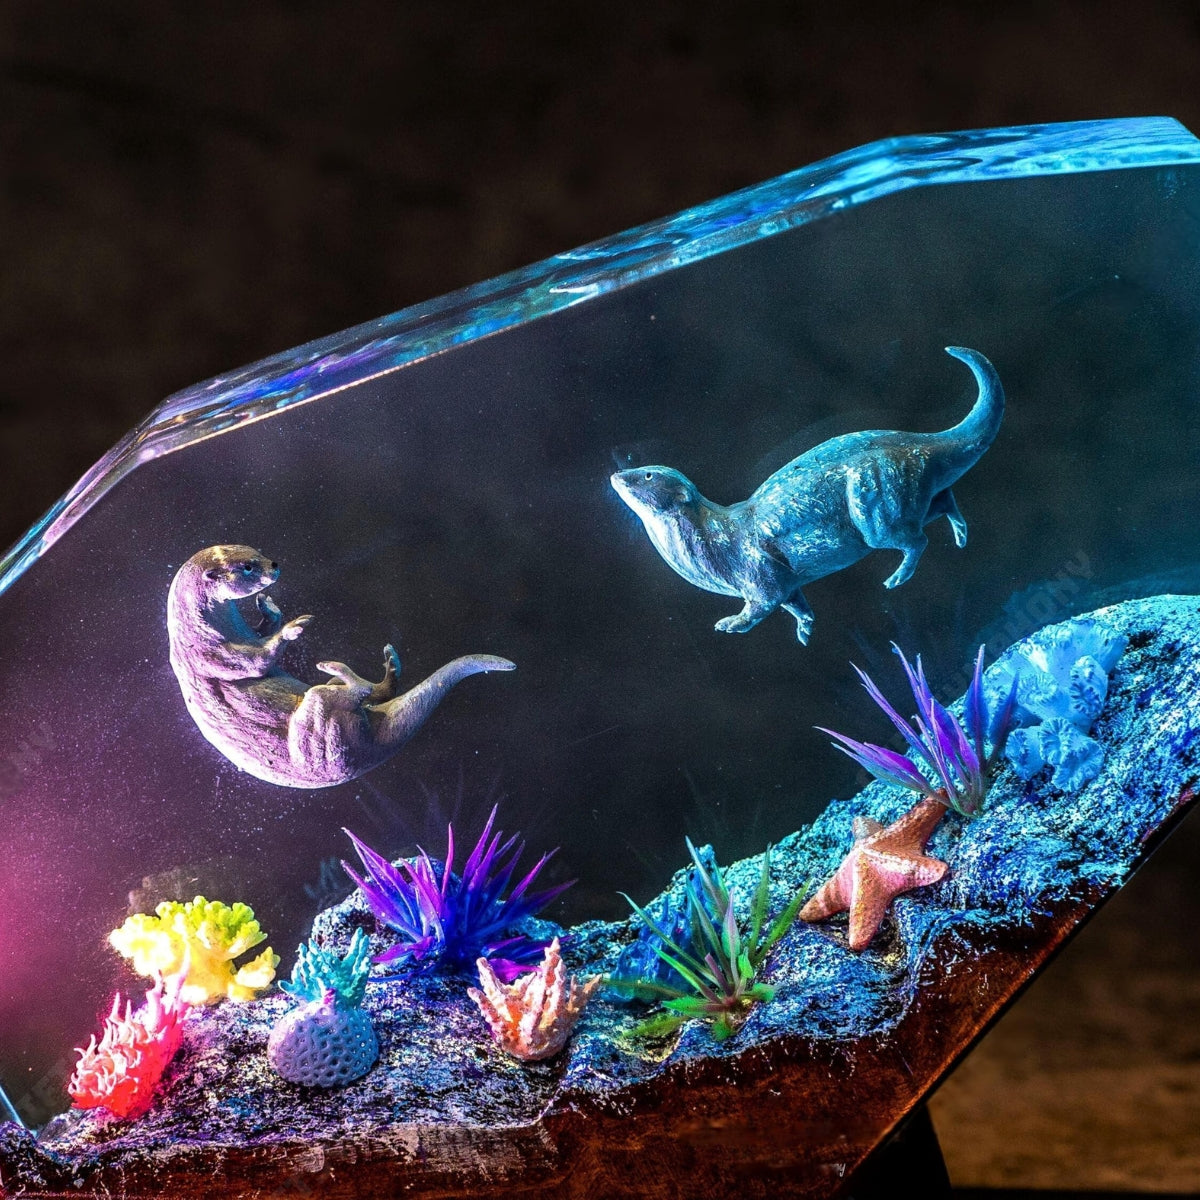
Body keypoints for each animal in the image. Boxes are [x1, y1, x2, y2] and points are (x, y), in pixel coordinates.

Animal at [166, 545, 515, 788]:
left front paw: (270, 608)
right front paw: (293, 627)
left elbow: (264, 636)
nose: (274, 565)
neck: (207, 629)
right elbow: (255, 662)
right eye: (248, 567)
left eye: (257, 552)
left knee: (374, 692)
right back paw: (338, 667)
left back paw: (388, 664)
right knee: (353, 694)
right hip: (319, 729)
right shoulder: (210, 654)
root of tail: (367, 753)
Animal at [611, 346, 1003, 643]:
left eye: (646, 475)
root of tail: (918, 447)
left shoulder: (759, 575)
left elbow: (761, 606)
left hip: (877, 508)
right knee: (941, 501)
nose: (617, 475)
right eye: (639, 467)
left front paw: (731, 623)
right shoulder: (785, 584)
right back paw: (961, 534)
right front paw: (805, 629)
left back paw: (897, 578)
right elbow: (795, 604)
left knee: (916, 539)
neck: (716, 541)